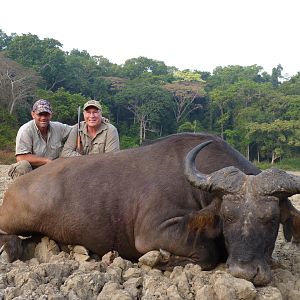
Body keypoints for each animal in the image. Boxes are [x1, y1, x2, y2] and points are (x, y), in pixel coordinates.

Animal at [0, 132, 300, 286]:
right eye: (227, 217)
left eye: (271, 219)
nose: (245, 272)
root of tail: (16, 187)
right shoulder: (153, 233)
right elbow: (207, 253)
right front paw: (159, 260)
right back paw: (11, 249)